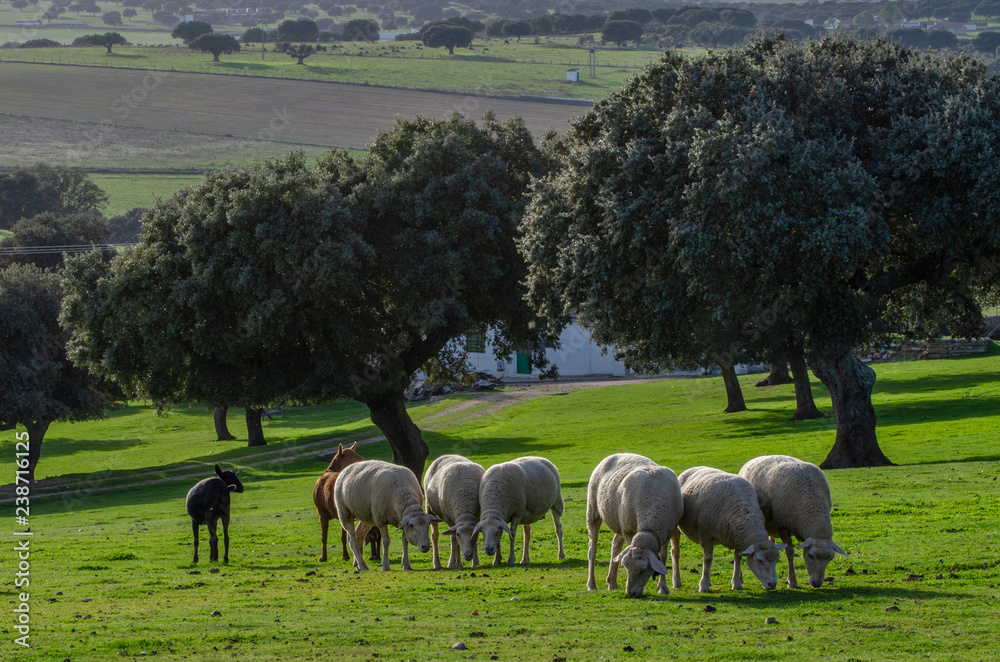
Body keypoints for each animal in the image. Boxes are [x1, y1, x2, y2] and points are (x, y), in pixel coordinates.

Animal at [586, 453, 683, 598]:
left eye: (643, 570)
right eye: (626, 567)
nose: (630, 593)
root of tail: (616, 454)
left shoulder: (666, 531)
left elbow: (663, 557)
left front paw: (663, 587)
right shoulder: (629, 532)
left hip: (620, 521)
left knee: (616, 544)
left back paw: (612, 583)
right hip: (594, 511)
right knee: (592, 549)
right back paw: (591, 584)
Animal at [738, 454, 847, 589]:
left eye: (831, 558)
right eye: (811, 555)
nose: (816, 583)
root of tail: (756, 458)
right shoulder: (782, 527)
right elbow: (790, 553)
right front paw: (792, 581)